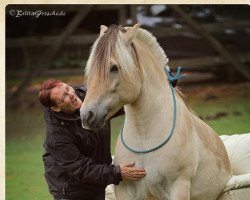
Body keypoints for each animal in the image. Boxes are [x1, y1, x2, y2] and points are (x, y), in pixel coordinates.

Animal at [80, 24, 232, 199]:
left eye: (114, 68)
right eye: (90, 68)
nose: (86, 115)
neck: (144, 137)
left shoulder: (179, 186)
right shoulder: (125, 189)